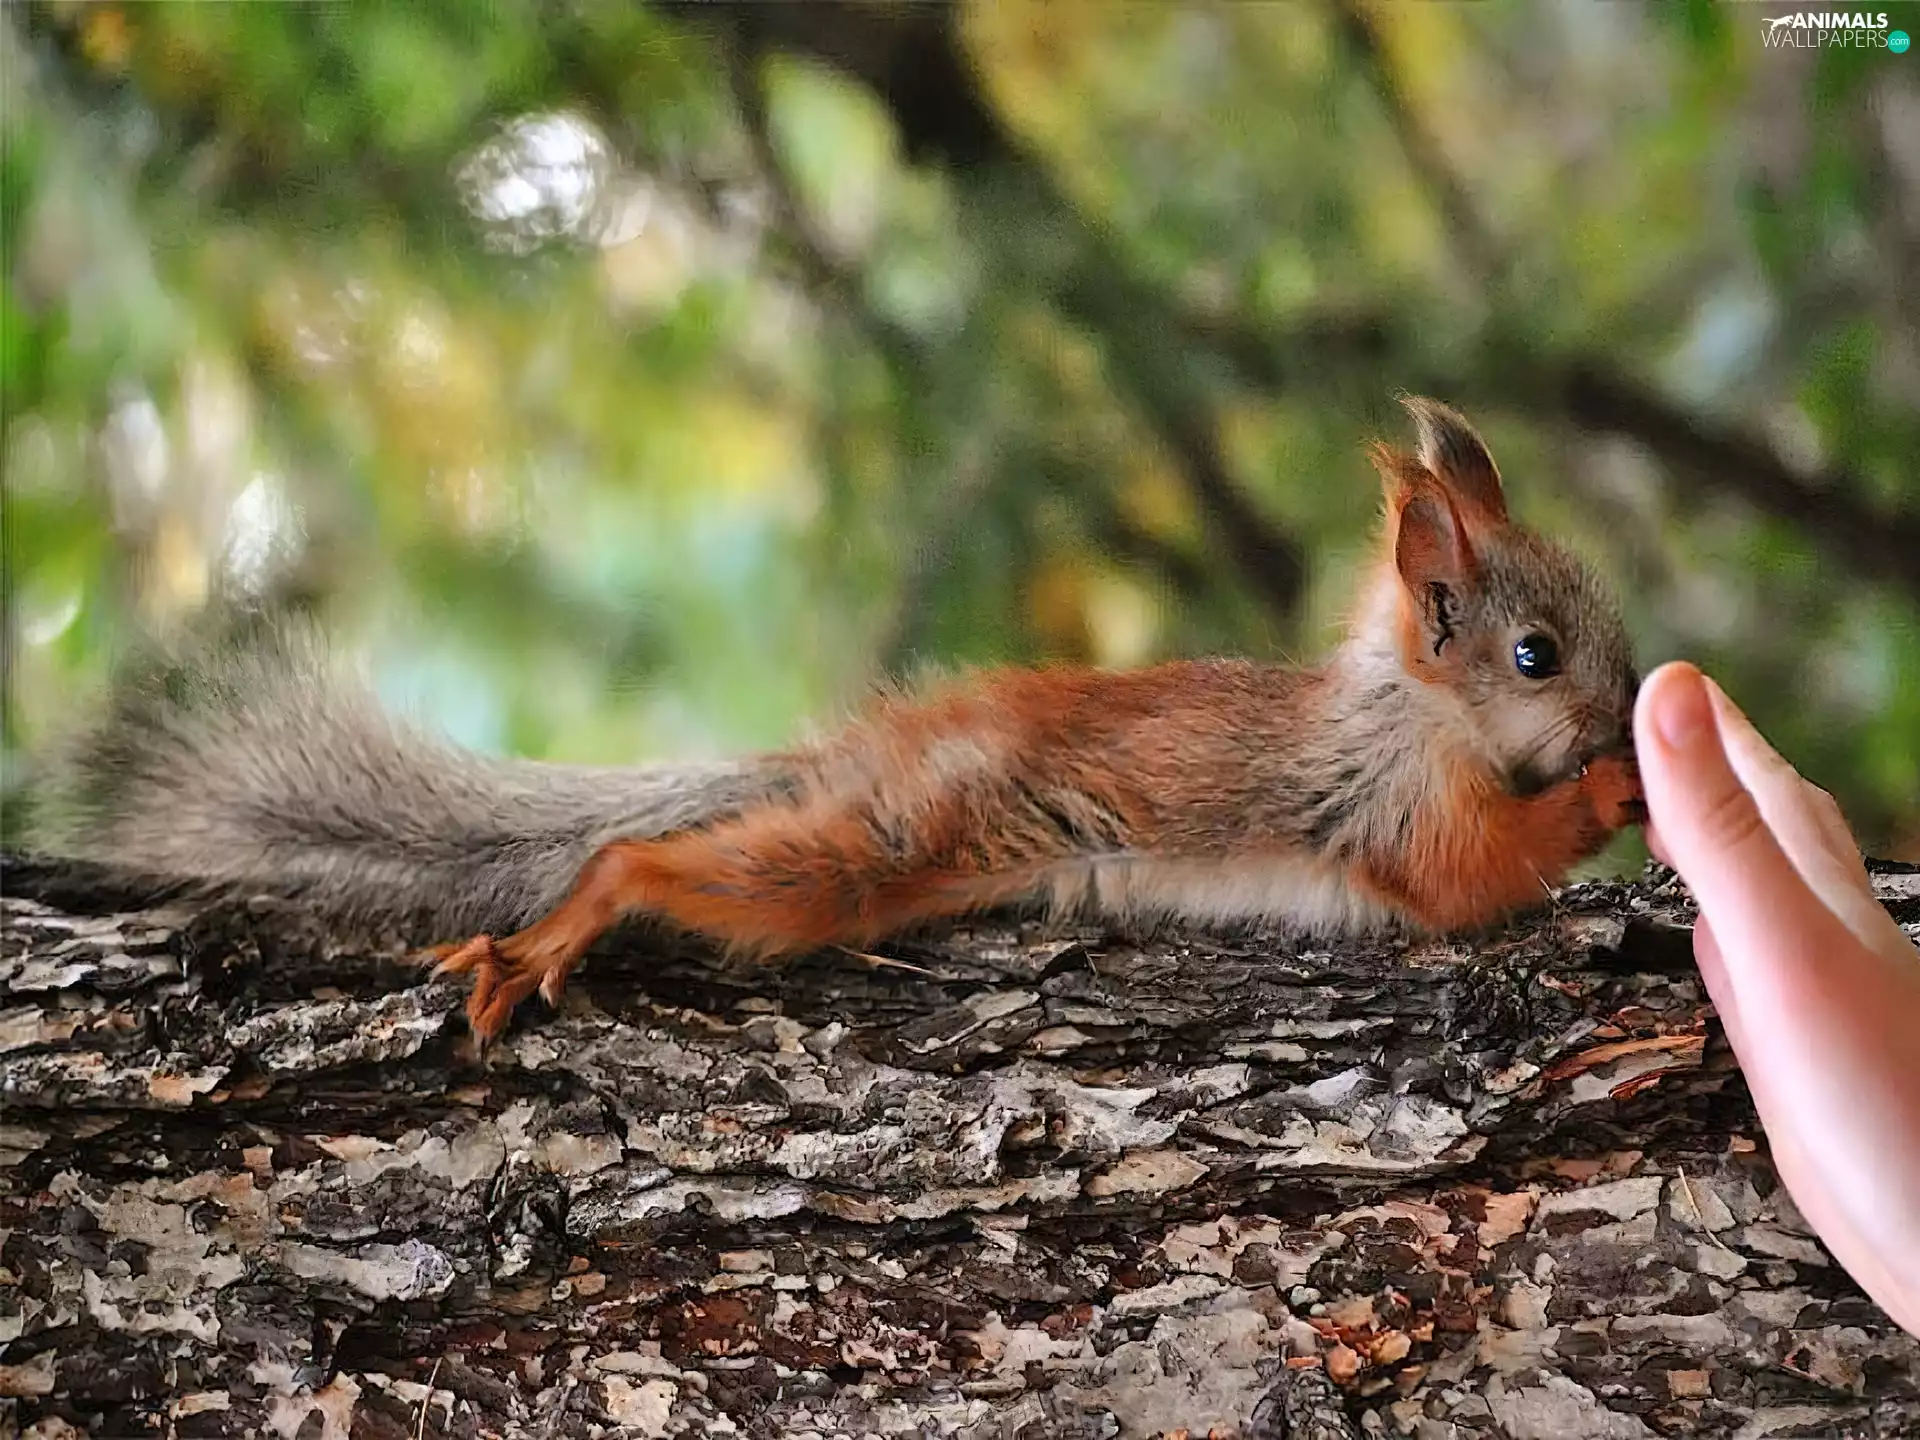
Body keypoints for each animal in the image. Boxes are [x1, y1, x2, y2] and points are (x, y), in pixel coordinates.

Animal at [34, 397, 1644, 1043]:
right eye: (1535, 653)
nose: (1624, 715)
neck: (1408, 704)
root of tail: (859, 753)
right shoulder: (1387, 800)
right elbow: (1465, 879)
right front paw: (1612, 796)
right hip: (888, 844)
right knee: (660, 866)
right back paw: (574, 918)